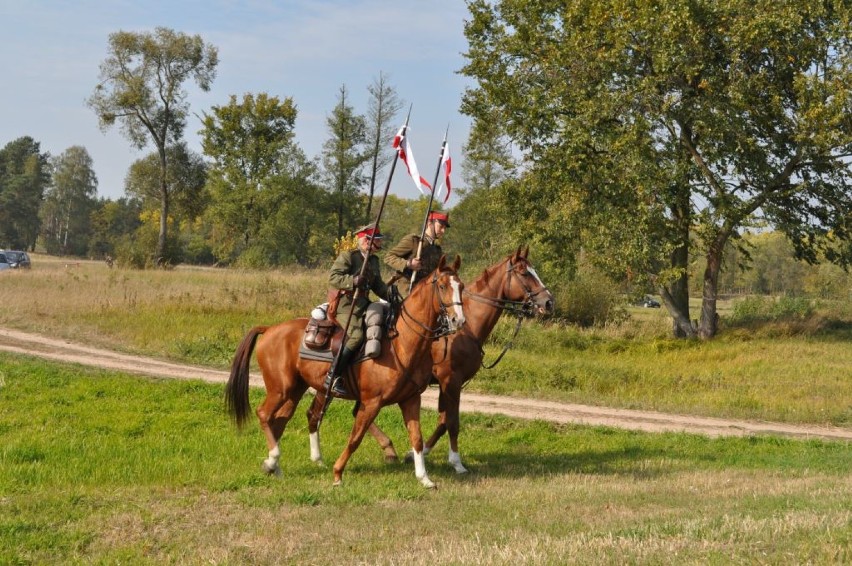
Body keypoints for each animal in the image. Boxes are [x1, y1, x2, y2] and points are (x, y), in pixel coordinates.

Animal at [225, 255, 466, 490]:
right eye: (442, 286)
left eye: (461, 286)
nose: (458, 320)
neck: (401, 342)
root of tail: (269, 329)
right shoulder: (371, 403)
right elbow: (355, 438)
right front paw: (338, 473)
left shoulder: (410, 400)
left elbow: (416, 438)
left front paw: (424, 478)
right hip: (279, 389)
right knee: (264, 414)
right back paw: (274, 458)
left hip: (295, 390)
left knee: (281, 420)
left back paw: (273, 466)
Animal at [360, 246, 552, 472]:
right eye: (524, 273)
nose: (548, 302)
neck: (466, 328)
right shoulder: (450, 380)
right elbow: (452, 421)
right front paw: (456, 462)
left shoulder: (451, 384)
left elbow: (443, 420)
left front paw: (417, 452)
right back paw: (388, 448)